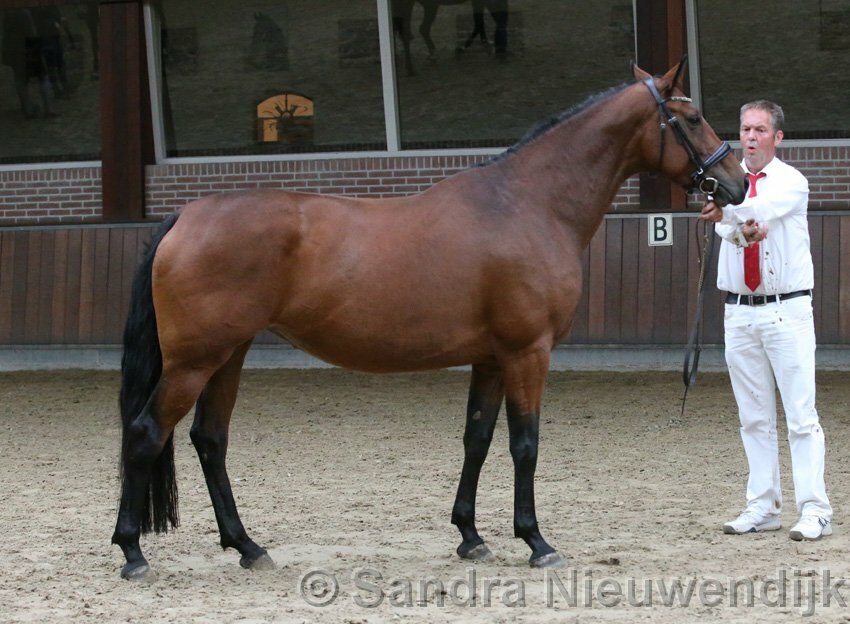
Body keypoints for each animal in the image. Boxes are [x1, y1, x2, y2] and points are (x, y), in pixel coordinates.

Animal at [112, 61, 747, 580]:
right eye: (691, 117)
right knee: (146, 433)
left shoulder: (491, 358)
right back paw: (133, 553)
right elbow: (525, 443)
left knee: (209, 440)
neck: (527, 204)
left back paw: (247, 547)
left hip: (228, 356)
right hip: (195, 362)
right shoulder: (528, 352)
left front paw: (470, 535)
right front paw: (536, 541)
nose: (737, 182)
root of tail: (186, 216)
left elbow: (477, 439)